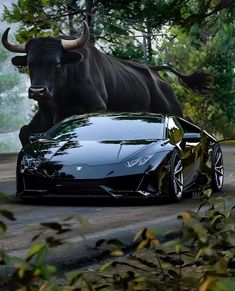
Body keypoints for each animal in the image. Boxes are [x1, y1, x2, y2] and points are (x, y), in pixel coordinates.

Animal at [1, 21, 213, 147]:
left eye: (57, 63)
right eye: (29, 64)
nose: (38, 91)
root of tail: (155, 73)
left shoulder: (95, 108)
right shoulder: (45, 114)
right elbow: (25, 132)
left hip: (173, 109)